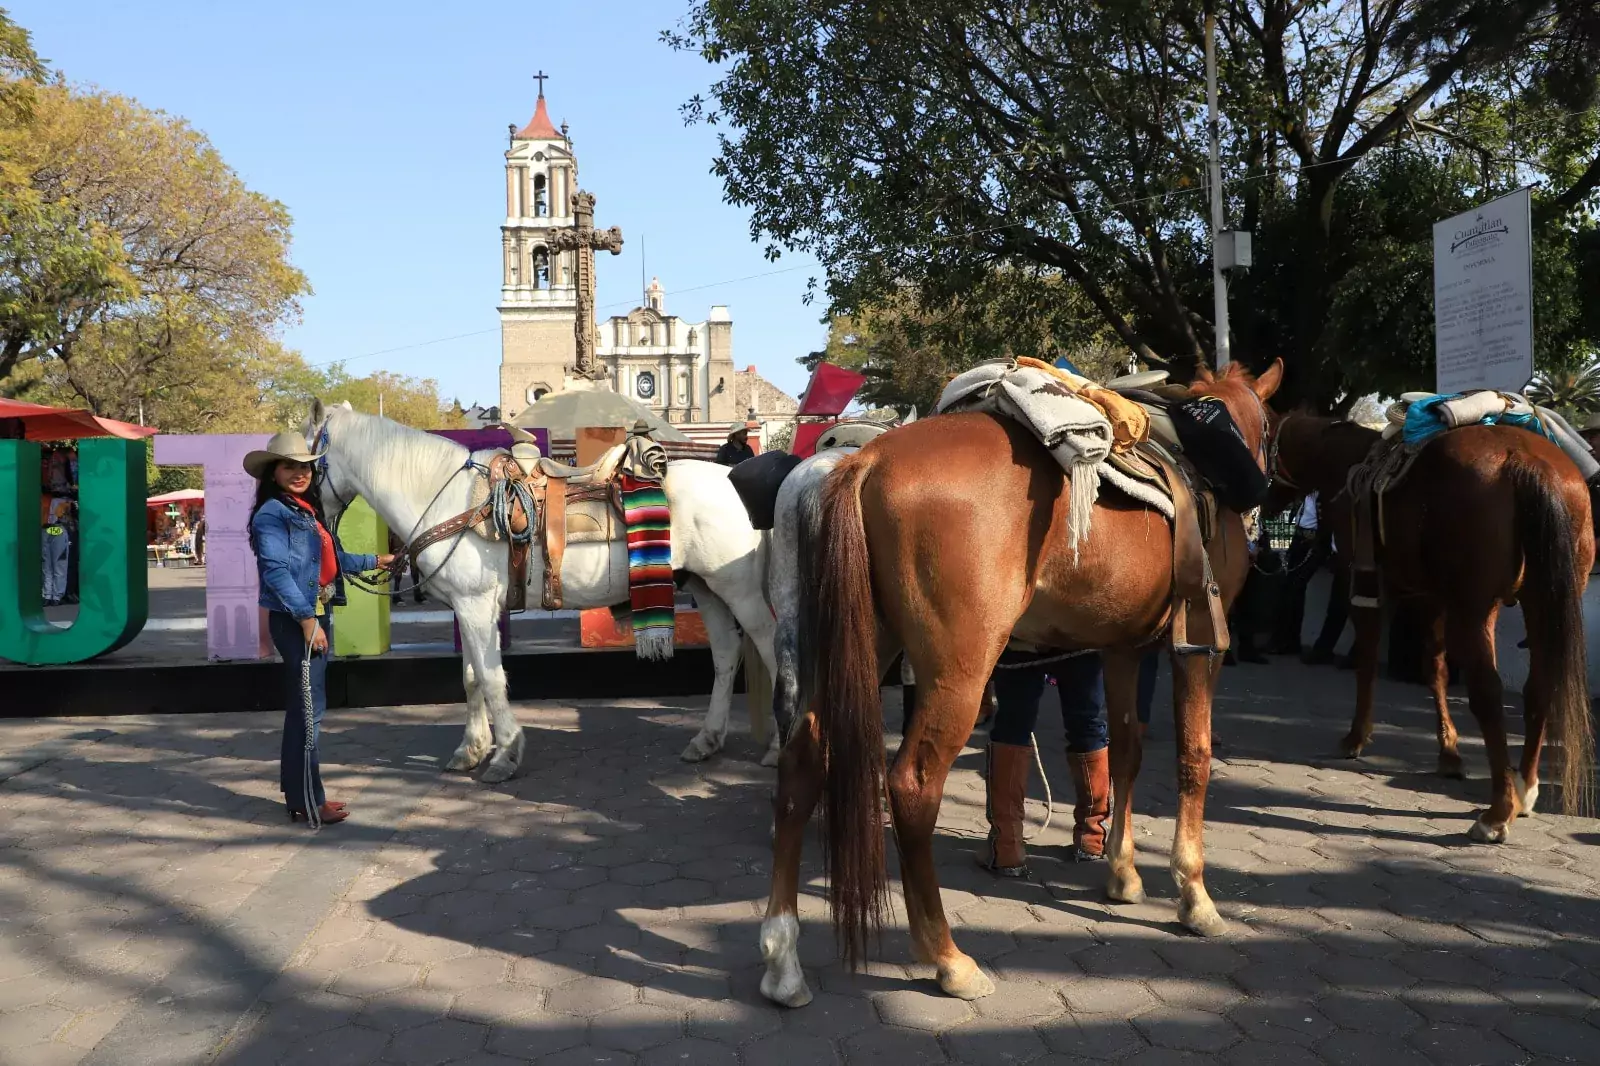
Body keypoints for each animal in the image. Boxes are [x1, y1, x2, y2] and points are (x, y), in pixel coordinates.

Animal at [304, 400, 780, 781]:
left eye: (308, 463)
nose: (308, 513)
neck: (449, 500)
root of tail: (735, 478)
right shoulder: (470, 608)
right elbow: (471, 677)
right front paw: (471, 750)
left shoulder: (476, 606)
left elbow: (491, 679)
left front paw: (505, 754)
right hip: (705, 586)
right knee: (726, 654)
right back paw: (707, 739)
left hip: (738, 589)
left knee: (769, 643)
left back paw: (776, 746)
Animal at [752, 358, 1286, 1005]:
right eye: (1270, 431)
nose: (1271, 494)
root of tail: (865, 462)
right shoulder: (1199, 648)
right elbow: (1194, 757)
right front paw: (1194, 896)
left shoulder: (1123, 650)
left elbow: (1126, 752)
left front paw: (1122, 872)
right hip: (959, 672)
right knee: (912, 786)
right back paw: (948, 958)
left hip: (857, 649)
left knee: (804, 761)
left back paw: (782, 960)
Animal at [1267, 409, 1593, 832]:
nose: (1262, 505)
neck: (1343, 461)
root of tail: (1527, 459)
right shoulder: (1431, 597)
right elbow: (1435, 669)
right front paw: (1449, 753)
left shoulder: (1363, 585)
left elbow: (1367, 661)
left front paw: (1356, 738)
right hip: (1540, 600)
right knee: (1538, 687)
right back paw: (1524, 788)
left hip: (1475, 606)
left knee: (1487, 692)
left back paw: (1498, 810)